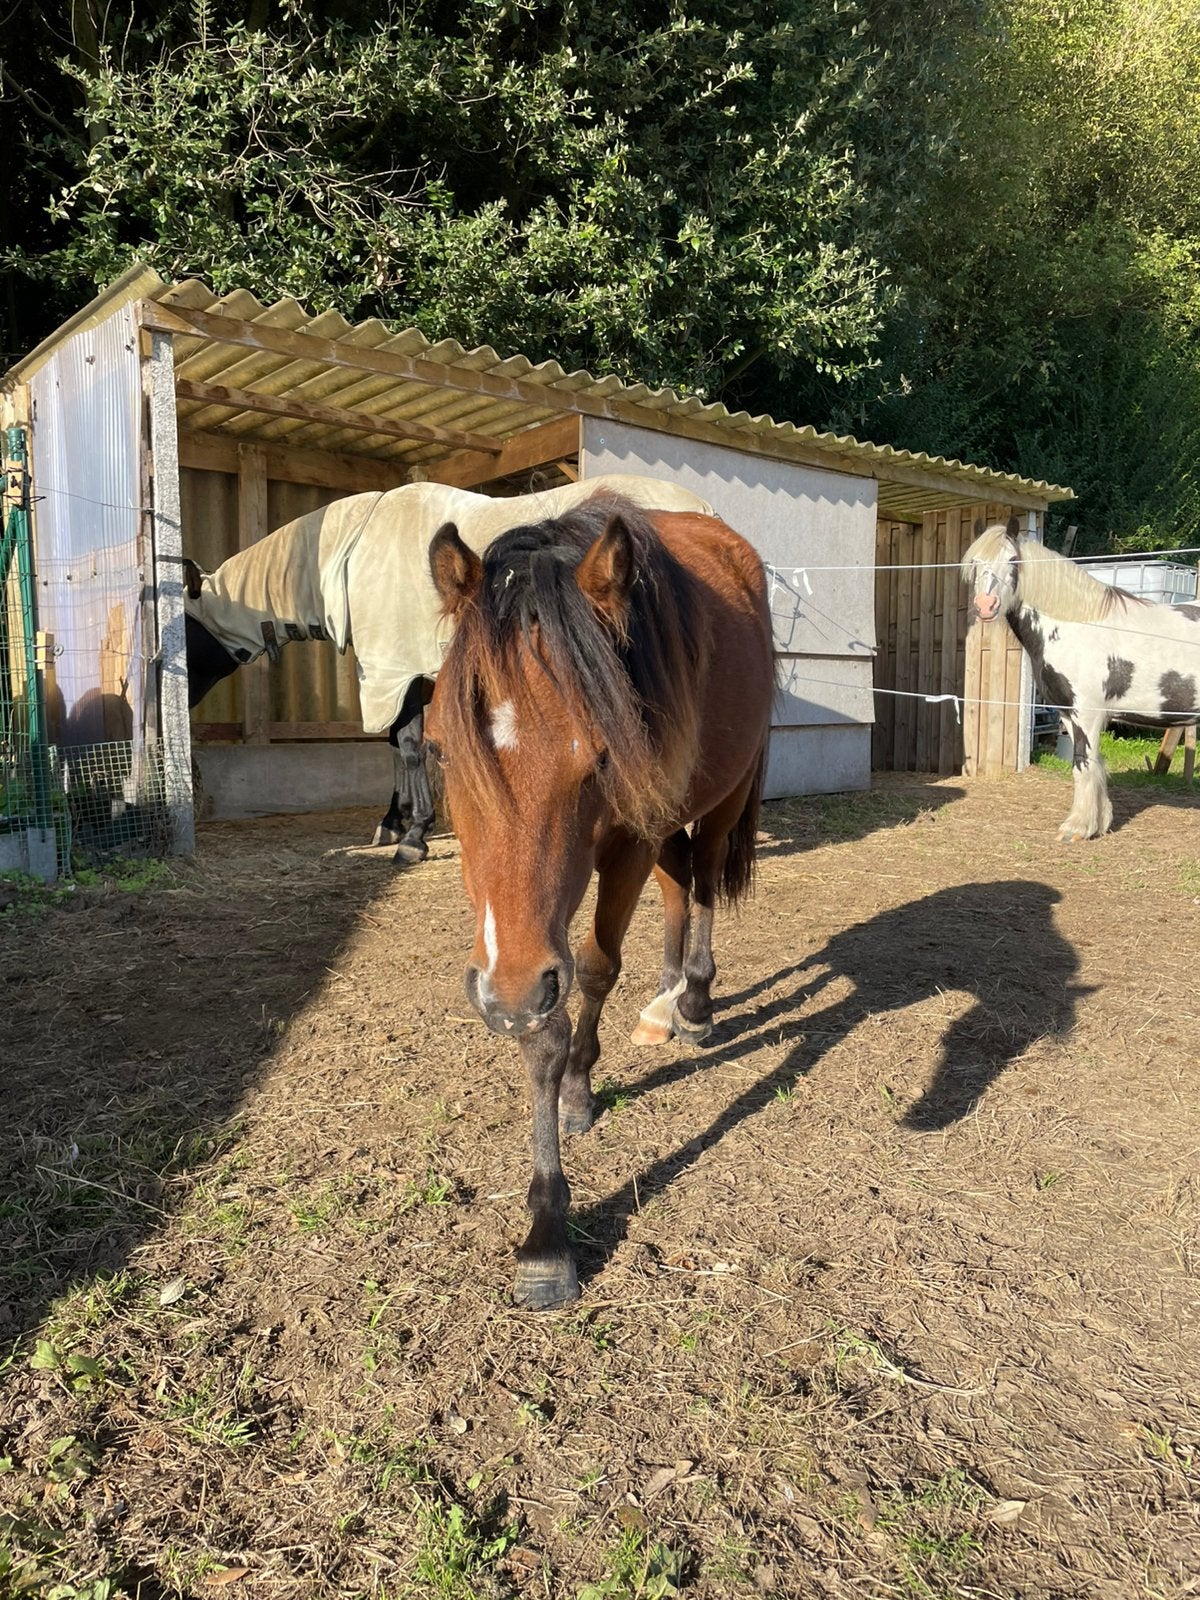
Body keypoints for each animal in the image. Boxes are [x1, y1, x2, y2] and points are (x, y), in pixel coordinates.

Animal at [183, 475, 713, 863]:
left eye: (184, 631)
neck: (352, 550)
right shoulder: (403, 674)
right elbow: (396, 747)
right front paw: (393, 822)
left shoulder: (391, 670)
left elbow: (410, 747)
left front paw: (413, 836)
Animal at [425, 495, 775, 1308]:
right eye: (439, 750)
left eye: (597, 761)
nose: (510, 990)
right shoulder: (516, 949)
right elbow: (542, 1032)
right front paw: (548, 1212)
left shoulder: (626, 839)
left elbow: (594, 968)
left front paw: (551, 1225)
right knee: (678, 886)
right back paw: (665, 999)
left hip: (720, 796)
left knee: (700, 881)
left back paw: (695, 1002)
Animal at [963, 518, 1200, 840]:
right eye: (975, 562)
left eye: (1013, 560)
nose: (986, 605)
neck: (1078, 626)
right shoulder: (1069, 714)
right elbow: (1092, 765)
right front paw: (1098, 823)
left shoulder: (1087, 713)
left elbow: (1083, 764)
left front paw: (1077, 828)